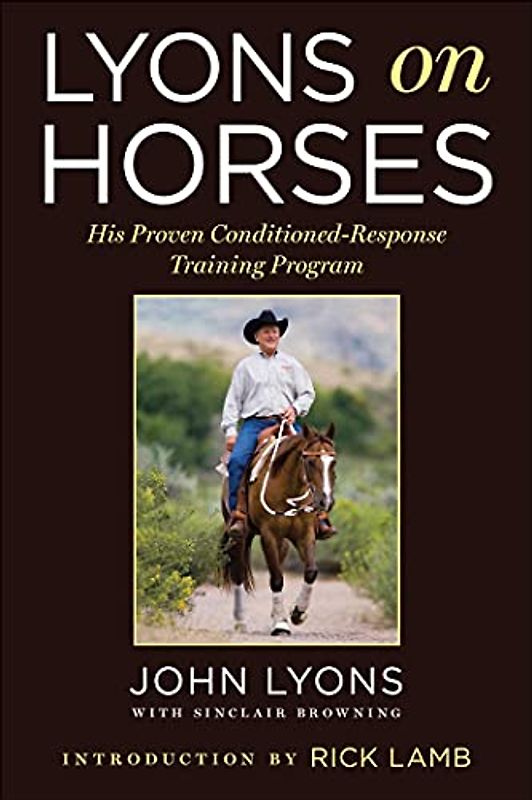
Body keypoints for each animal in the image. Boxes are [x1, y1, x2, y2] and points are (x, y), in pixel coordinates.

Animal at [221, 421, 336, 636]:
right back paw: (240, 621)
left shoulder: (305, 535)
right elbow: (276, 579)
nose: (326, 501)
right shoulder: (269, 535)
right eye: (309, 462)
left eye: (333, 463)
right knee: (238, 572)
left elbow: (311, 571)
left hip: (283, 543)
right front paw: (281, 624)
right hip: (240, 535)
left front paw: (297, 613)